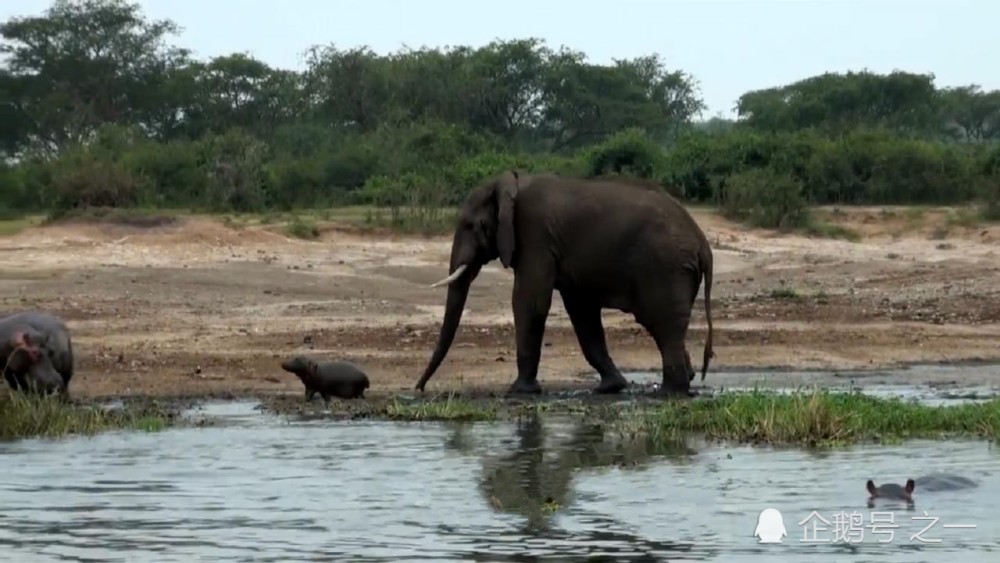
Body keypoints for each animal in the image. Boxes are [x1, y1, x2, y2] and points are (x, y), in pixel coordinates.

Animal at [414, 170, 715, 397]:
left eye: (469, 226)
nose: (419, 388)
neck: (511, 183)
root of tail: (703, 244)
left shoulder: (534, 236)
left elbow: (530, 302)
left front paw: (519, 392)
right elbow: (582, 313)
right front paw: (610, 387)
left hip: (666, 267)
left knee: (663, 323)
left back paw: (670, 392)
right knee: (663, 324)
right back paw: (685, 379)